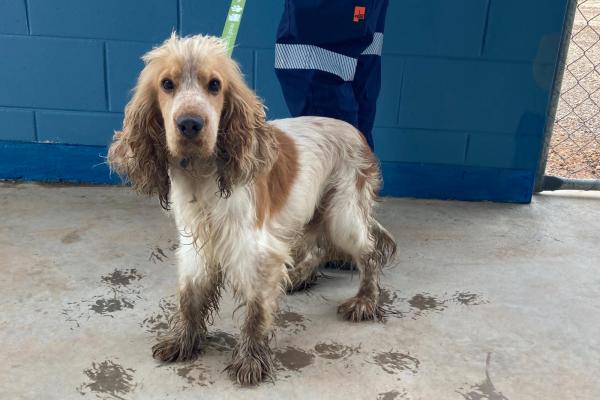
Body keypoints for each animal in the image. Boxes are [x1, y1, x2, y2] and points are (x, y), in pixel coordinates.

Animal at [108, 33, 398, 384]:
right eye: (166, 84)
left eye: (214, 85)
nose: (190, 124)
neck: (202, 175)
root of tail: (356, 132)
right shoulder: (195, 244)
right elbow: (189, 296)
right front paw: (183, 341)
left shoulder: (255, 249)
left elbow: (256, 309)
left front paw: (250, 360)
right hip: (310, 208)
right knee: (317, 246)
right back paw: (299, 276)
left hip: (343, 213)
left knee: (368, 253)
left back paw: (364, 301)